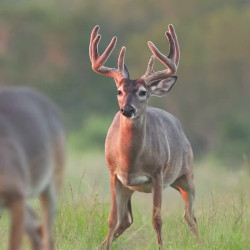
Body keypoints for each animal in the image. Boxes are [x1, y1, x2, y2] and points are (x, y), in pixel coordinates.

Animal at [89, 23, 198, 250]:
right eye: (119, 91)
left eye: (142, 92)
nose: (127, 109)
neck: (130, 160)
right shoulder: (114, 174)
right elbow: (112, 219)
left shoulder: (157, 174)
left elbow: (157, 220)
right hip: (130, 187)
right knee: (125, 220)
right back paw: (102, 244)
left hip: (187, 175)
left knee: (191, 217)